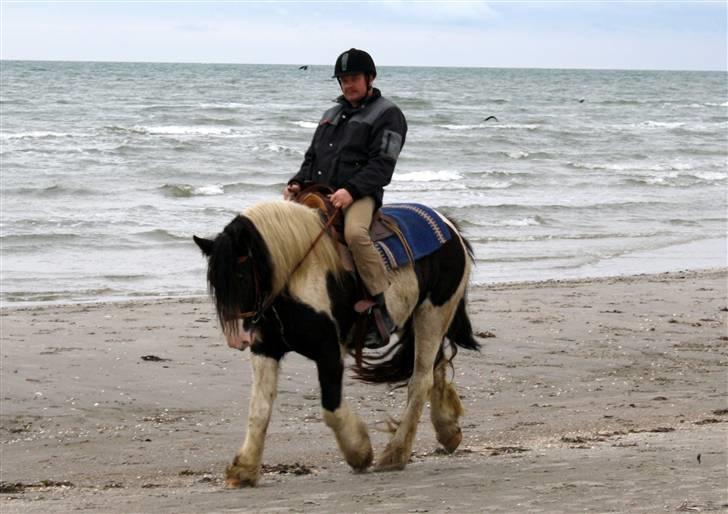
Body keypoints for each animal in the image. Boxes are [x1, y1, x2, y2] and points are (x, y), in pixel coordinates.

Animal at [193, 199, 480, 484]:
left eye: (241, 277)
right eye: (215, 284)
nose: (237, 339)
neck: (296, 277)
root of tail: (448, 225)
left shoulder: (329, 352)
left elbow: (331, 408)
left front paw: (360, 452)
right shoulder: (266, 349)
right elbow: (259, 409)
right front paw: (244, 469)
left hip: (432, 314)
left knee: (421, 380)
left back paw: (395, 455)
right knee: (436, 365)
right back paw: (447, 431)